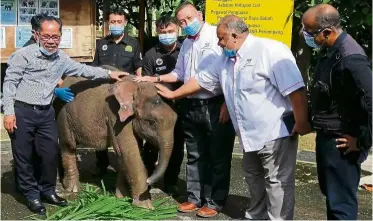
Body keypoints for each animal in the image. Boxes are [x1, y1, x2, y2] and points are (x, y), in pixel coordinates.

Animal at [53, 67, 177, 209]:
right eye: (152, 122)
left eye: (175, 119)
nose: (149, 181)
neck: (134, 86)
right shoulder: (115, 115)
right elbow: (129, 152)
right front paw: (145, 207)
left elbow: (124, 153)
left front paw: (121, 198)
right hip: (63, 115)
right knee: (68, 146)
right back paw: (72, 189)